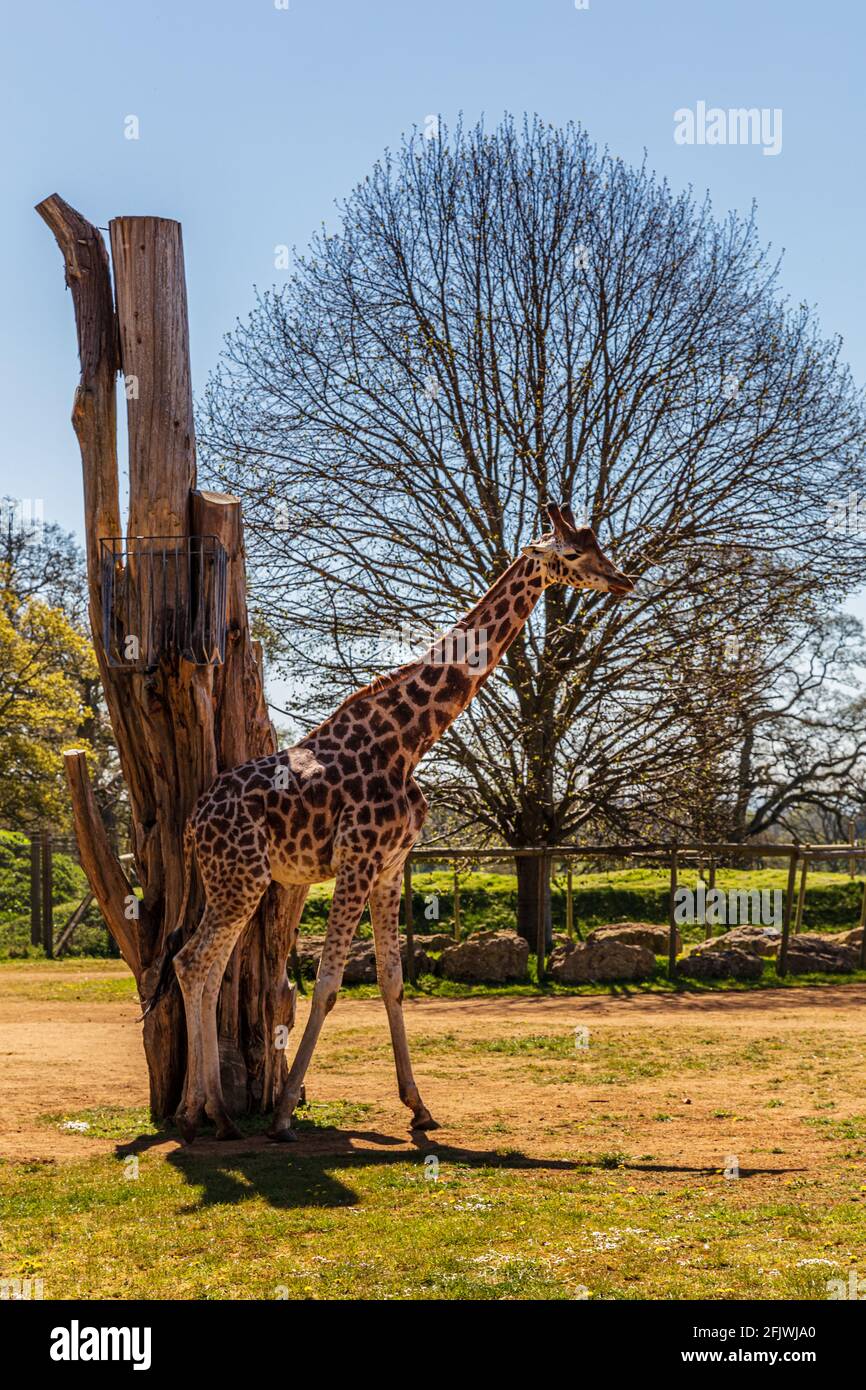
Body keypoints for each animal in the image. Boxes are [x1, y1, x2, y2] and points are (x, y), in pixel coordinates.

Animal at [140, 500, 631, 1139]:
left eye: (601, 546)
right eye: (572, 553)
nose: (622, 580)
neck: (410, 739)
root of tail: (192, 824)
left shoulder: (392, 866)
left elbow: (392, 982)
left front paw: (419, 1106)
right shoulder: (358, 859)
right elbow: (327, 984)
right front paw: (284, 1113)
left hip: (233, 880)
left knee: (196, 964)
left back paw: (196, 1110)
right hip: (241, 879)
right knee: (196, 961)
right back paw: (218, 1112)